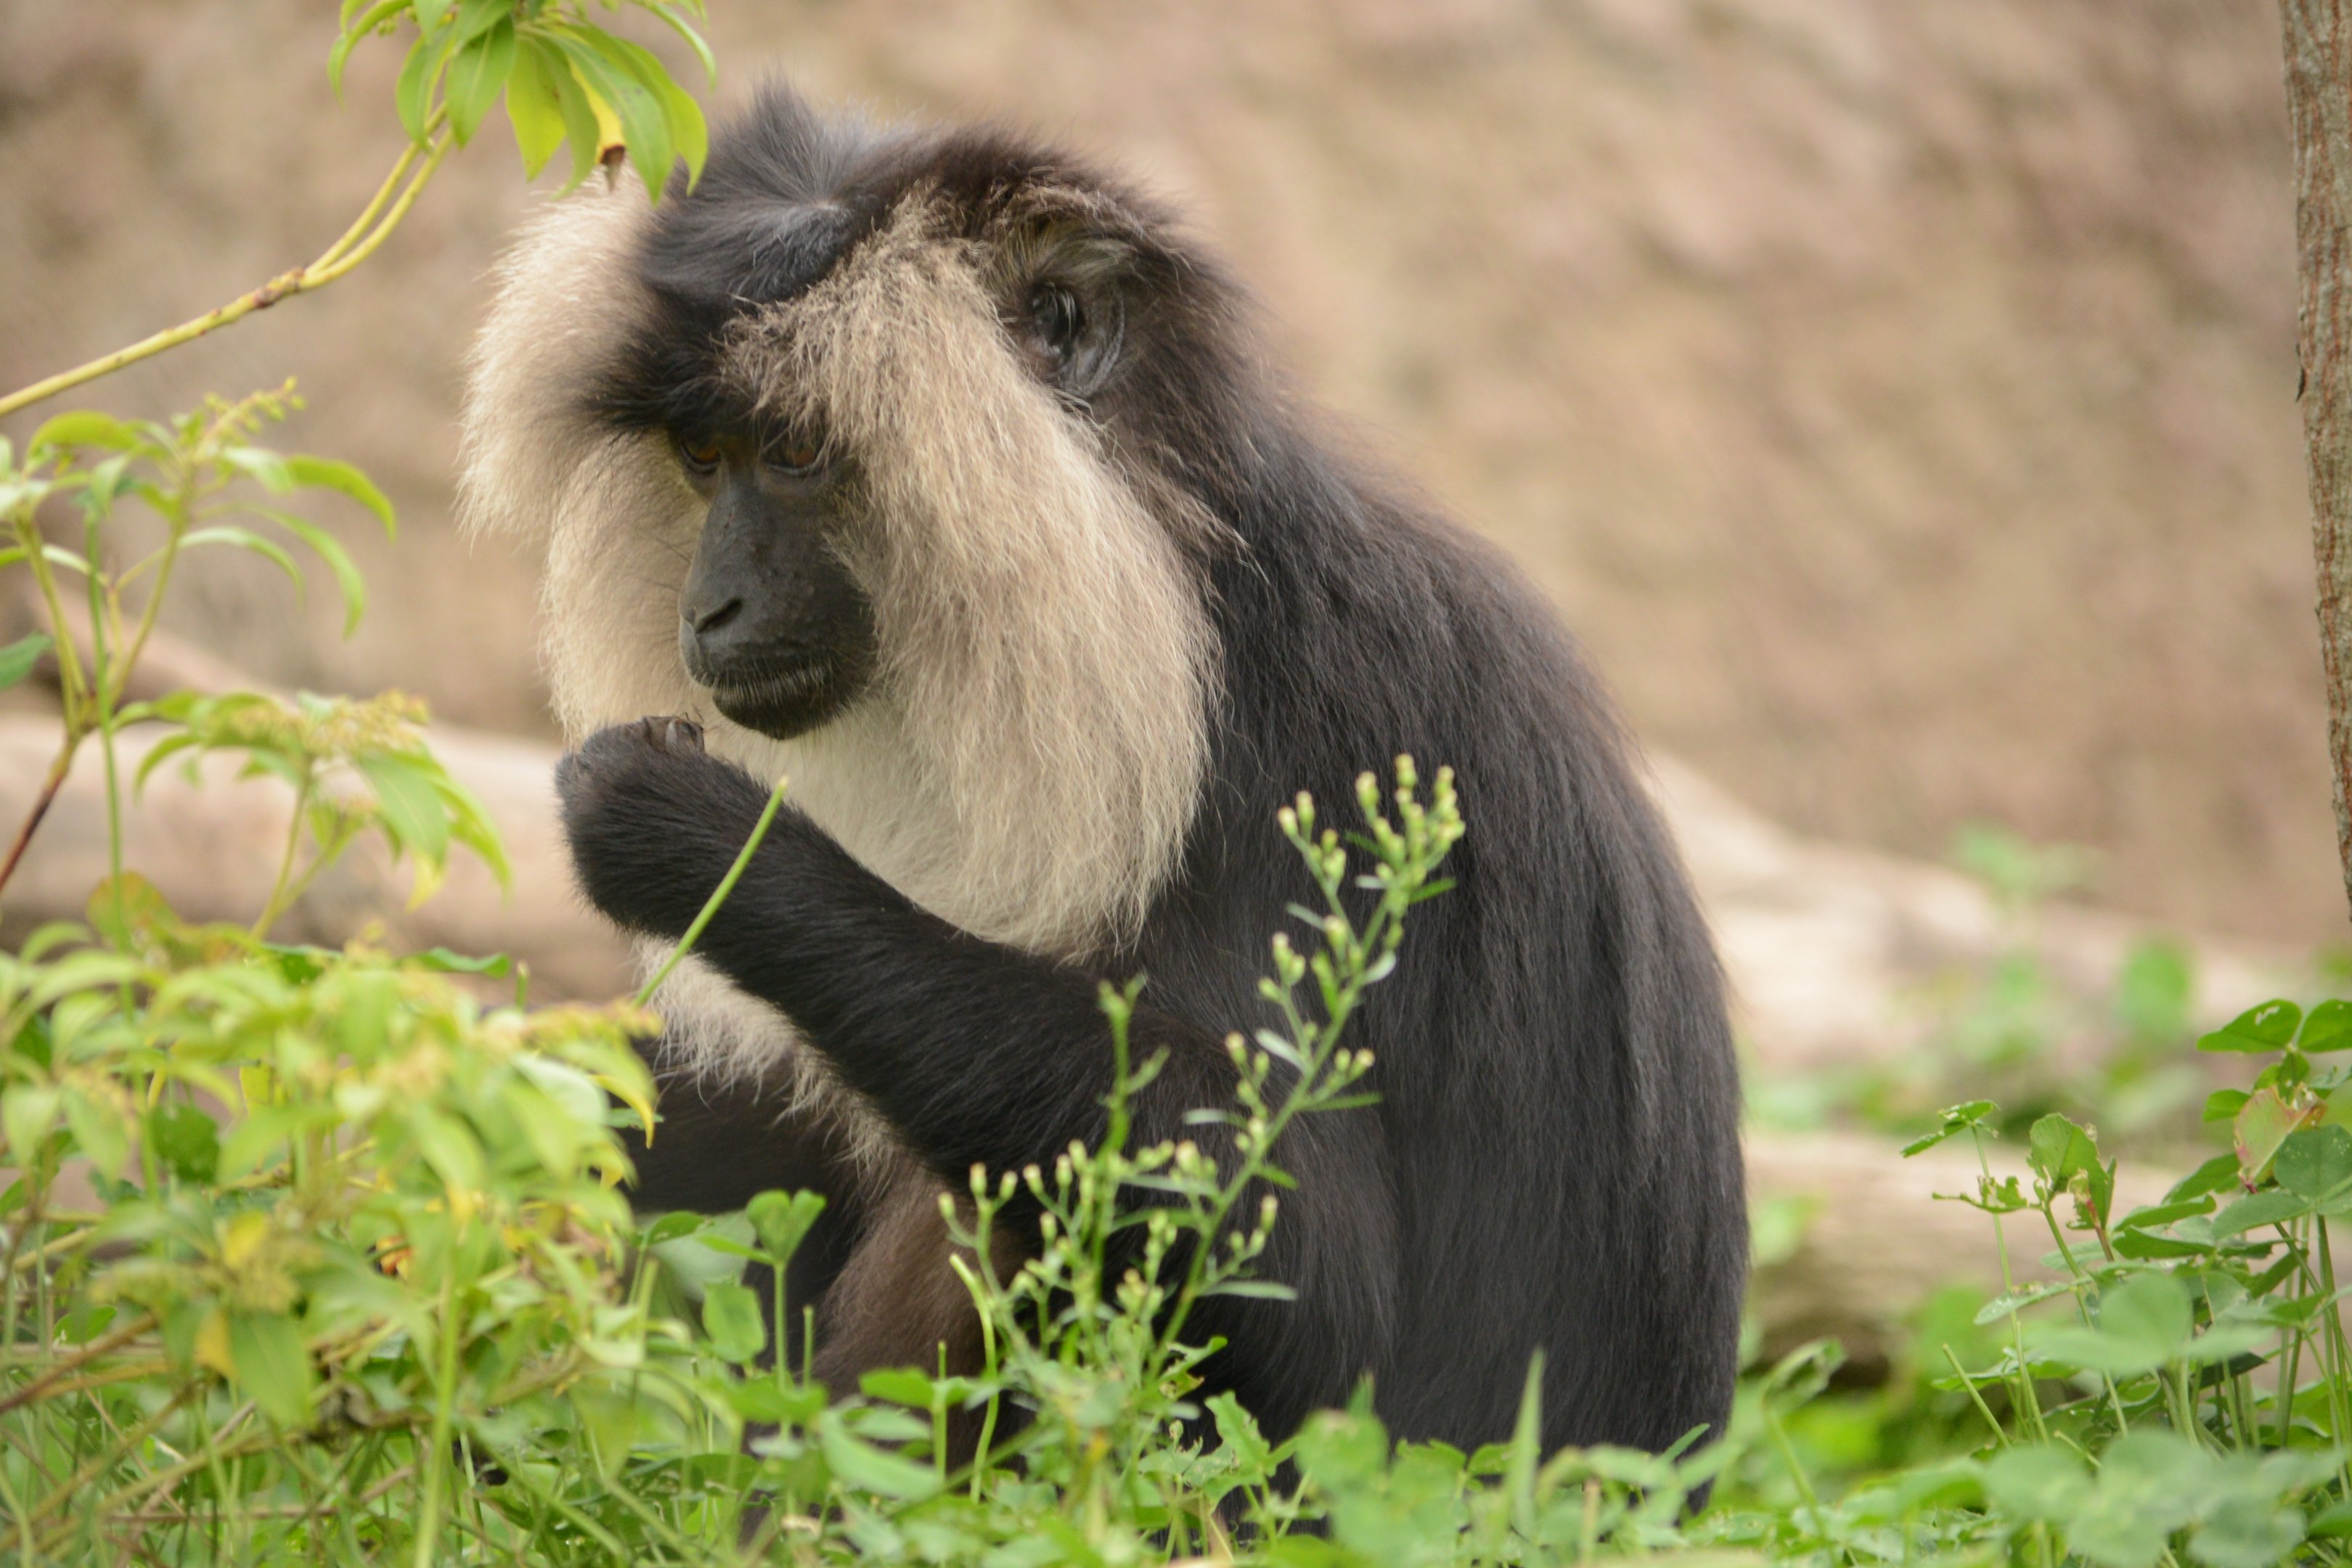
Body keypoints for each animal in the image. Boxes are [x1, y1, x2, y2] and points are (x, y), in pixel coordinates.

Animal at [458, 82, 1746, 1461]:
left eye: (795, 452)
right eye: (702, 456)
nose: (709, 607)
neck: (1186, 614)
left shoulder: (1334, 747)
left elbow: (1311, 1271)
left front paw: (695, 841)